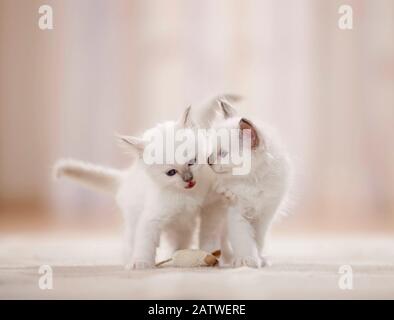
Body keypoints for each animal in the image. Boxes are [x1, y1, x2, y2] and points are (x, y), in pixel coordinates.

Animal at [208, 100, 290, 268]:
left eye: (223, 154)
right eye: (213, 151)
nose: (208, 160)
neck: (252, 182)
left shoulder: (265, 215)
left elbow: (258, 240)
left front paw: (258, 258)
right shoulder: (236, 211)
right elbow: (243, 239)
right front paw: (245, 260)